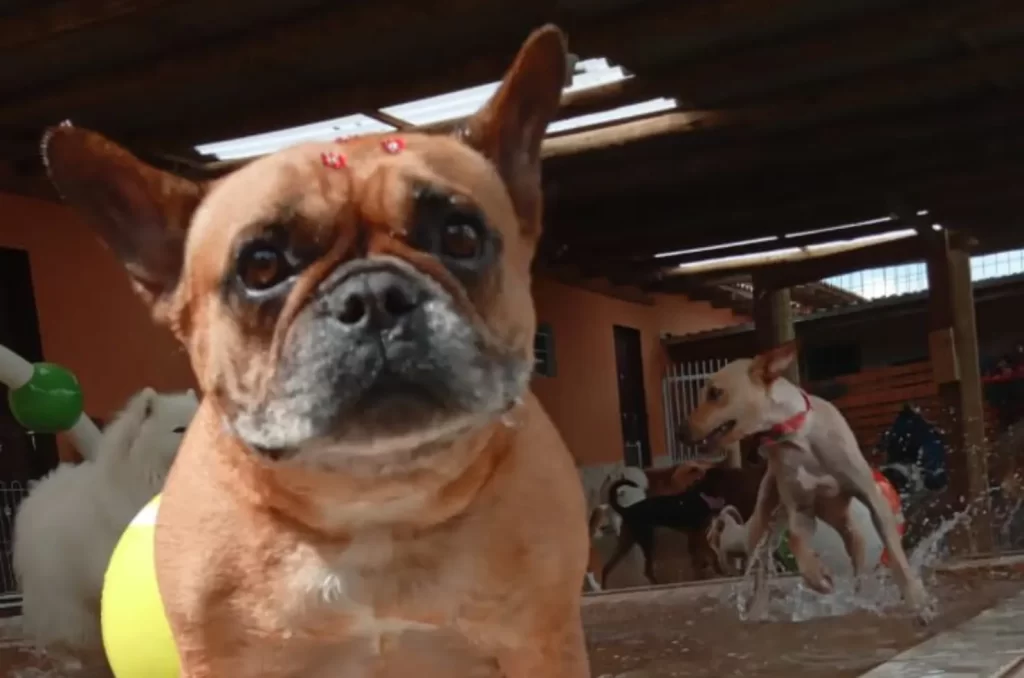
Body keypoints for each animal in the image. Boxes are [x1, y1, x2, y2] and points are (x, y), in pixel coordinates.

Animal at [684, 342, 933, 622]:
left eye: (715, 393)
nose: (682, 432)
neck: (797, 435)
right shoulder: (801, 510)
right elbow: (796, 542)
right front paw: (817, 576)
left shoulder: (872, 499)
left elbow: (897, 556)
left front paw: (918, 601)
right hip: (763, 525)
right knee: (757, 568)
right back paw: (756, 608)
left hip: (844, 525)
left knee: (856, 554)